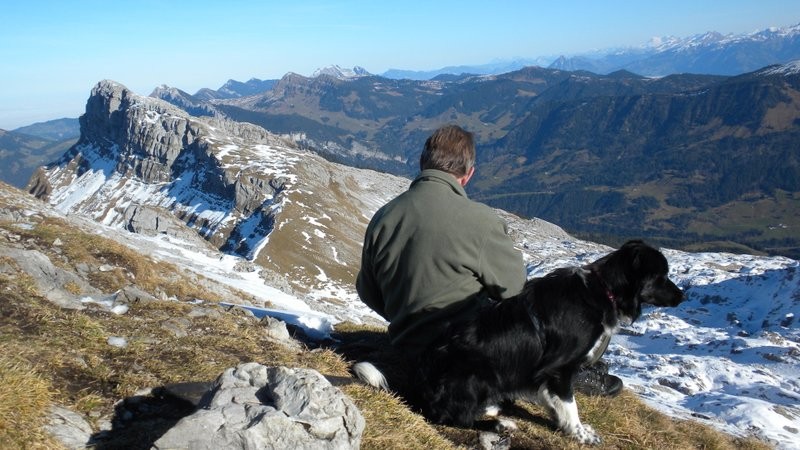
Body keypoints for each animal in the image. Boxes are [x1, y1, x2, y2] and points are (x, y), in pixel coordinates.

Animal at [354, 241, 684, 444]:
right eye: (662, 276)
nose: (682, 296)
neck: (601, 290)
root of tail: (418, 388)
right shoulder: (562, 368)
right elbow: (570, 403)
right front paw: (580, 433)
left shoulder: (544, 374)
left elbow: (554, 401)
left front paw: (562, 422)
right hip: (476, 374)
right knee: (452, 417)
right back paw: (499, 423)